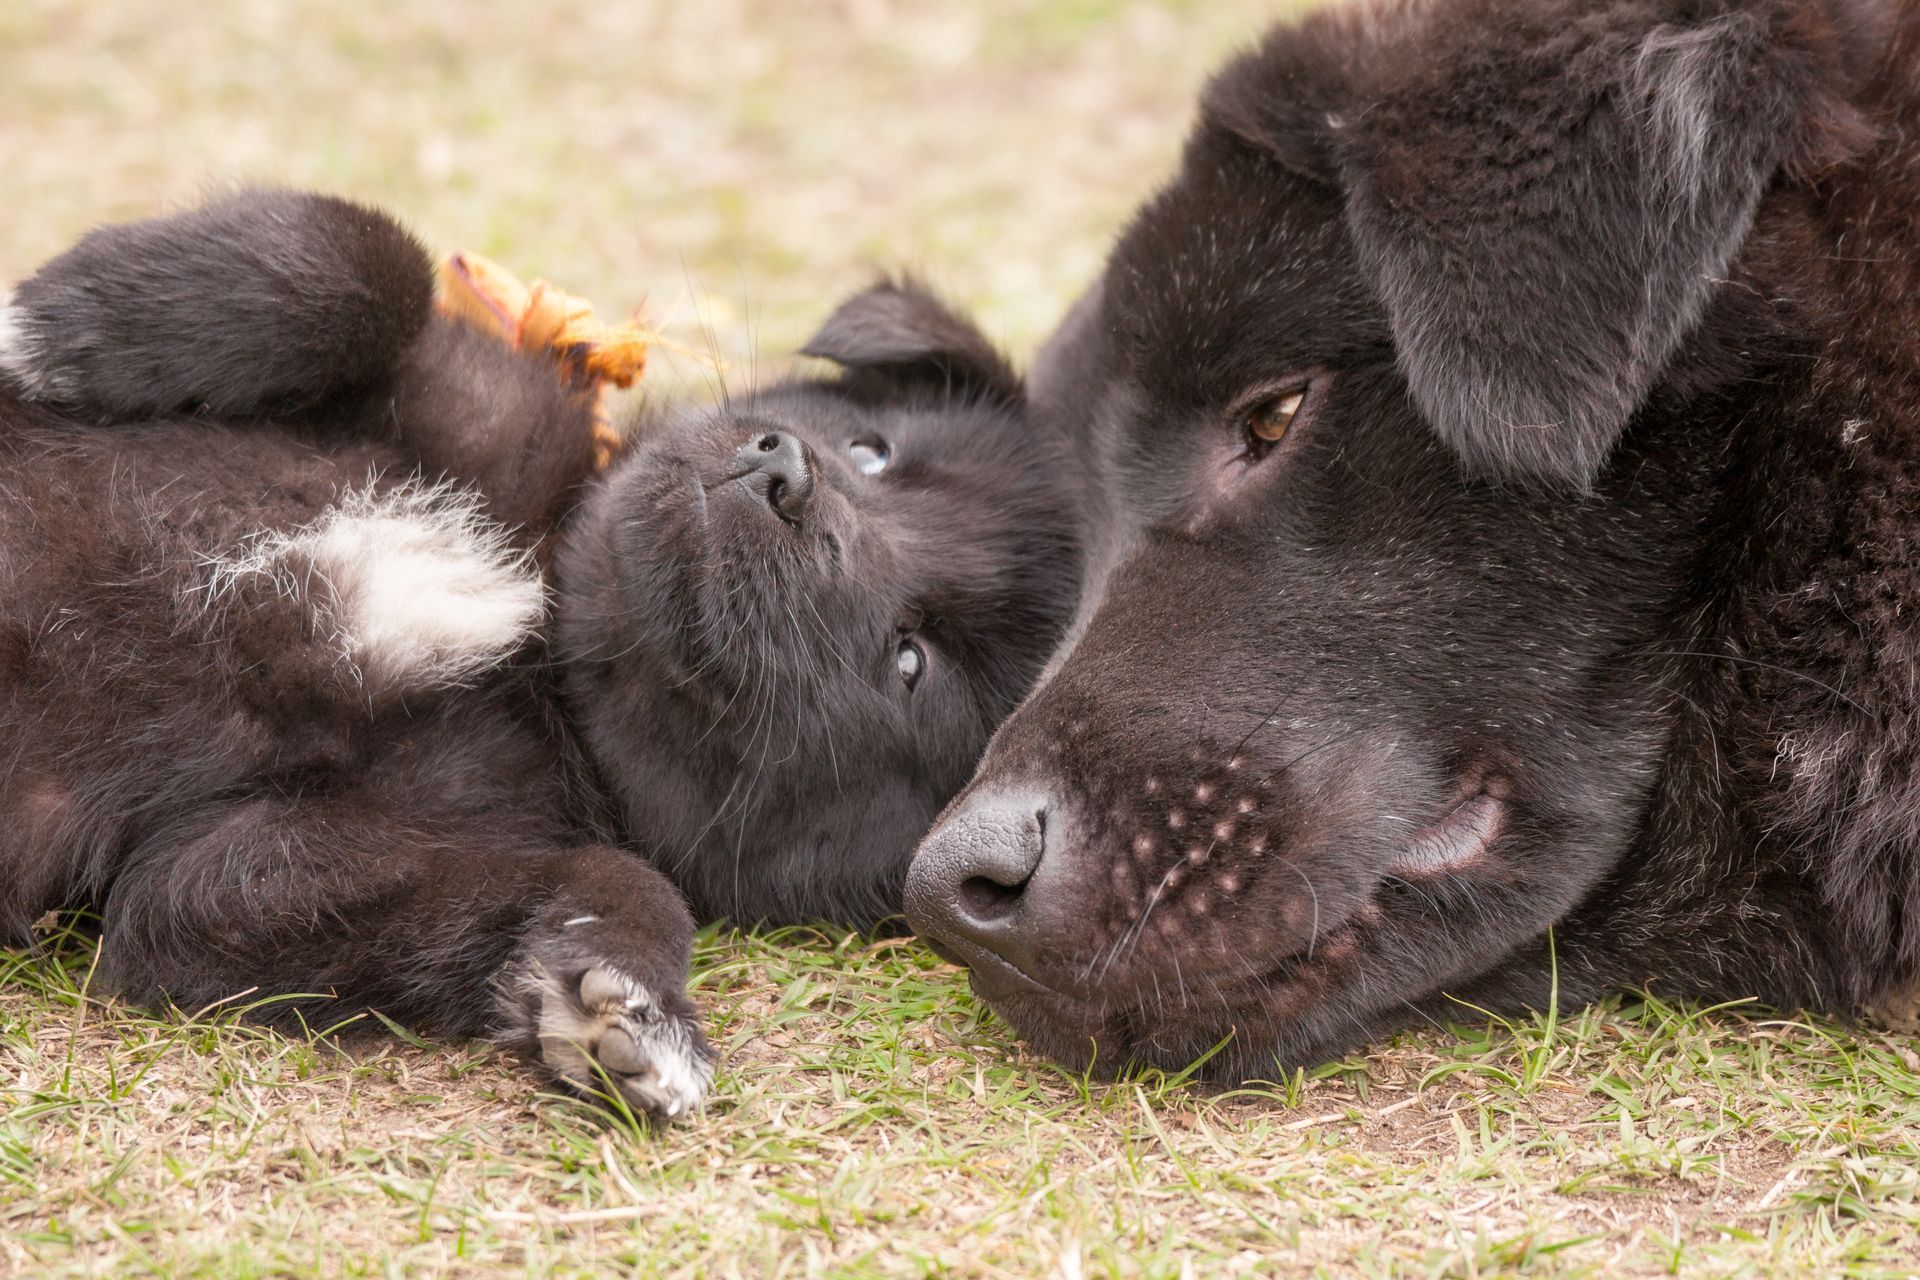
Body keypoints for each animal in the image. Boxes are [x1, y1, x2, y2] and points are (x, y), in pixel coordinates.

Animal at [0, 185, 1082, 1113]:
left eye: (911, 659)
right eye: (873, 450)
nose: (788, 477)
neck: (540, 635)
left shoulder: (232, 867)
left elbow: (611, 874)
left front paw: (630, 999)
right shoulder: (479, 395)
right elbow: (365, 255)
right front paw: (47, 328)